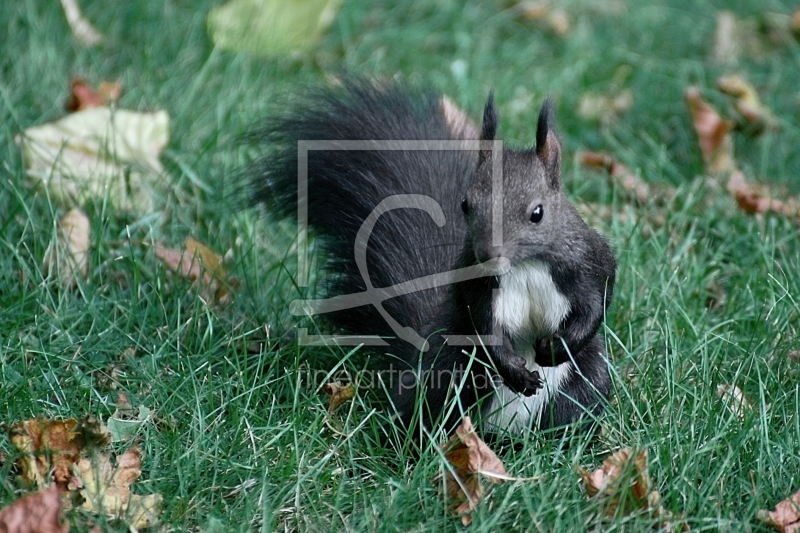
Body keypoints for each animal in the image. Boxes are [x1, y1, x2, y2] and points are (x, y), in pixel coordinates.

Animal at [253, 78, 616, 436]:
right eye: (466, 204)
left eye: (537, 213)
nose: (488, 254)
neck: (525, 264)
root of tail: (505, 432)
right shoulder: (475, 285)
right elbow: (483, 326)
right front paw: (514, 368)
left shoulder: (587, 262)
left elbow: (596, 302)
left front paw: (557, 347)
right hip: (448, 371)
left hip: (585, 381)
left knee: (574, 409)